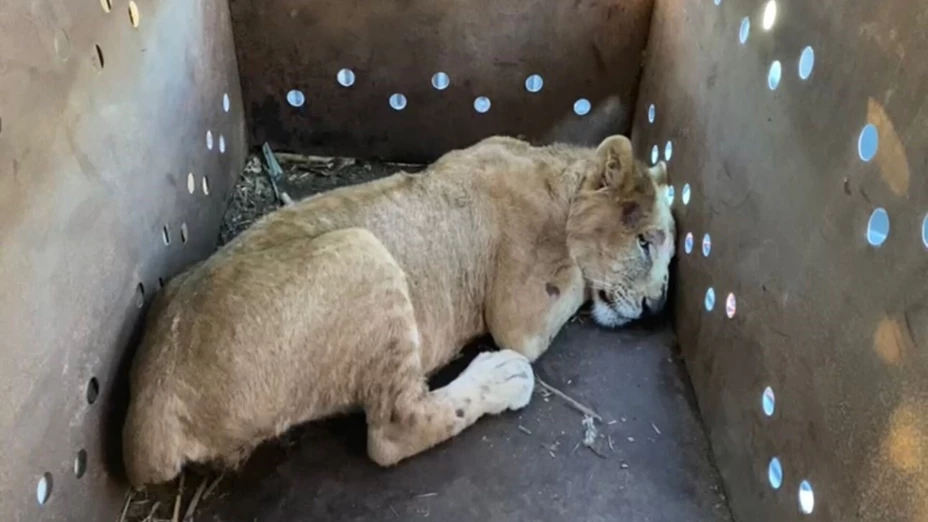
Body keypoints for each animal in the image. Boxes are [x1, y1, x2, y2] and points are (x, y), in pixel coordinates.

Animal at [122, 134, 675, 488]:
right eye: (646, 242)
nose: (655, 308)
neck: (556, 172)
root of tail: (152, 404)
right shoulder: (521, 314)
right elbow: (578, 279)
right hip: (361, 252)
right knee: (394, 431)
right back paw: (501, 377)